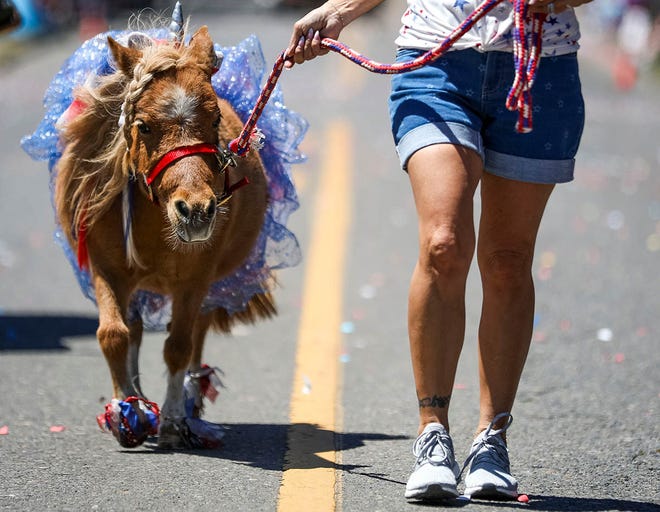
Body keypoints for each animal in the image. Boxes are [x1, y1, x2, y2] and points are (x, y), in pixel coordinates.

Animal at [54, 27, 276, 448]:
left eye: (215, 119)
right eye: (143, 125)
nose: (196, 211)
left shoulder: (195, 280)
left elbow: (178, 345)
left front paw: (172, 420)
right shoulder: (106, 270)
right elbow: (113, 334)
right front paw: (126, 410)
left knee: (195, 334)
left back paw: (190, 401)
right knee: (134, 328)